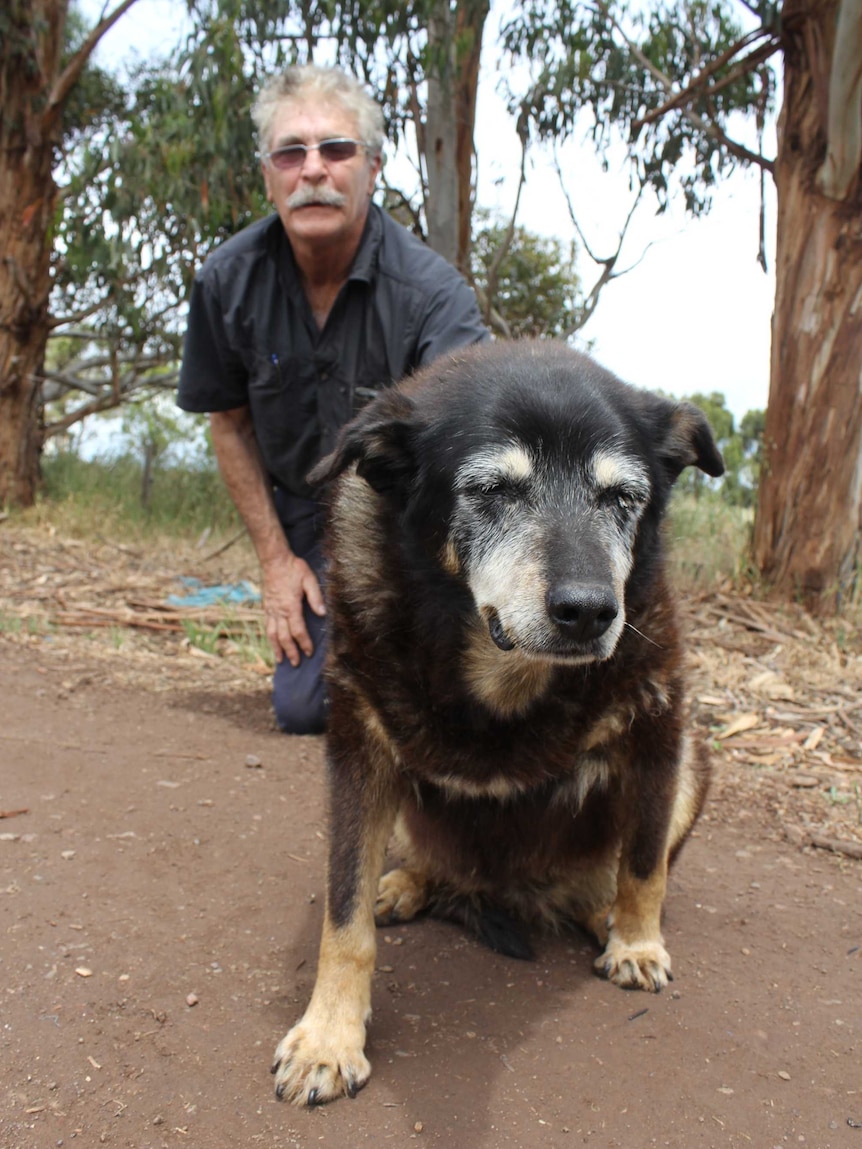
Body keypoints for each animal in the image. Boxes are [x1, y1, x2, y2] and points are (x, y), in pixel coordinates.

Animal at [273, 337, 726, 1103]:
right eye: (492, 491)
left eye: (624, 498)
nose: (589, 612)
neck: (500, 675)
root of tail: (510, 892)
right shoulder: (360, 750)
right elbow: (344, 912)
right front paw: (330, 1036)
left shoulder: (659, 730)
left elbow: (643, 864)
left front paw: (637, 940)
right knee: (426, 862)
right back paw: (409, 882)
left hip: (694, 763)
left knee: (622, 865)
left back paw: (601, 912)